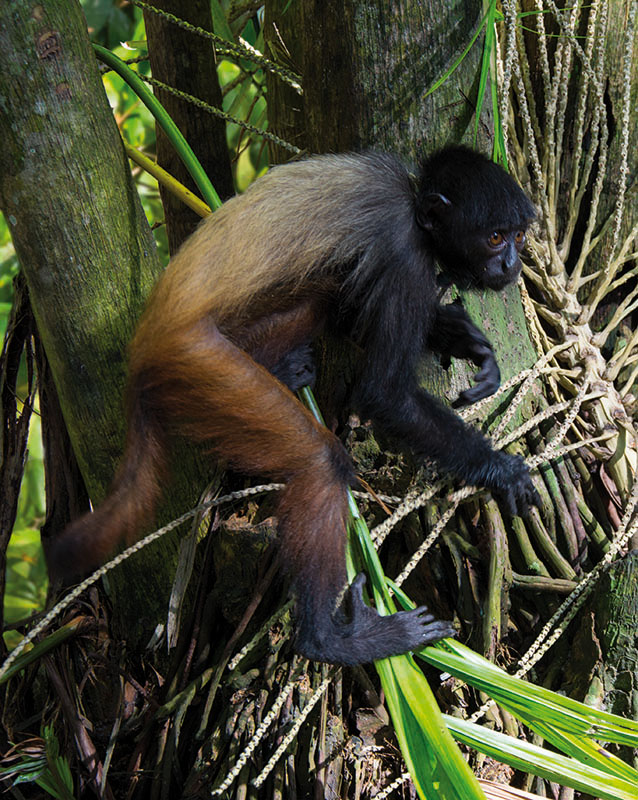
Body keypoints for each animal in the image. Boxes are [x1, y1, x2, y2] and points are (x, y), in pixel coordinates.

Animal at [47, 145, 540, 668]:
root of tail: (145, 340)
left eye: (518, 235)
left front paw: (464, 340)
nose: (512, 264)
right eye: (494, 238)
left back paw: (283, 366)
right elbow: (385, 393)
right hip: (197, 359)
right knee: (319, 461)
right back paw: (330, 640)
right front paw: (500, 470)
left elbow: (354, 314)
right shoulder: (404, 249)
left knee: (326, 292)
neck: (411, 199)